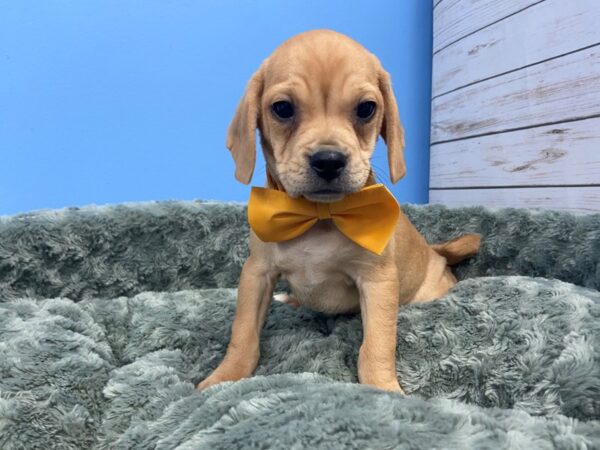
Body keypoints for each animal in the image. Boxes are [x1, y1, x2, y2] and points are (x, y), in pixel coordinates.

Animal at [199, 29, 480, 392]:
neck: (319, 215)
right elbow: (243, 333)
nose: (328, 161)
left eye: (366, 109)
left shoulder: (377, 282)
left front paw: (383, 389)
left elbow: (376, 346)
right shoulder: (256, 273)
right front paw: (224, 377)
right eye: (282, 108)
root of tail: (437, 252)